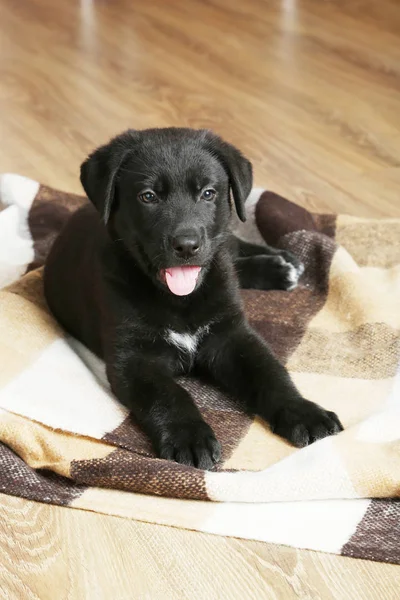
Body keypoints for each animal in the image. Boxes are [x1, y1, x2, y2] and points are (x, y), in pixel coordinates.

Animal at [44, 130, 344, 468]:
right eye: (148, 196)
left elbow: (270, 373)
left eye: (208, 193)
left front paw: (303, 412)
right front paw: (189, 437)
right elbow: (169, 396)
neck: (180, 300)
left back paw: (283, 263)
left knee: (233, 246)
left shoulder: (231, 335)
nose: (186, 245)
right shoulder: (133, 359)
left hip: (223, 245)